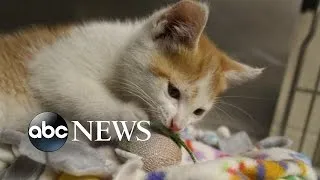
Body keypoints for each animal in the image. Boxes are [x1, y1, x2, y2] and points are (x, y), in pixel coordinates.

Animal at [0, 0, 262, 138]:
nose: (177, 126)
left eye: (199, 112)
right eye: (173, 91)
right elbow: (72, 87)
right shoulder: (51, 63)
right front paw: (127, 115)